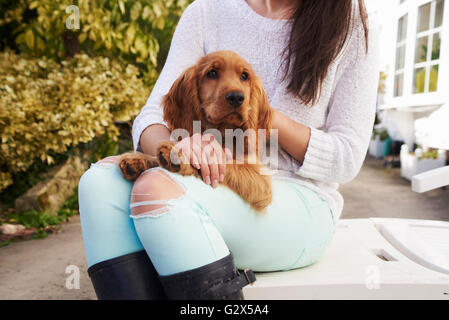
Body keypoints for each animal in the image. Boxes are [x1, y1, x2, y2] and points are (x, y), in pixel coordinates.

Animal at [119, 51, 272, 211]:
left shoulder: (260, 179)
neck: (221, 131)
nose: (236, 97)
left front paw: (178, 156)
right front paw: (137, 160)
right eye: (212, 73)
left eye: (244, 76)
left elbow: (224, 160)